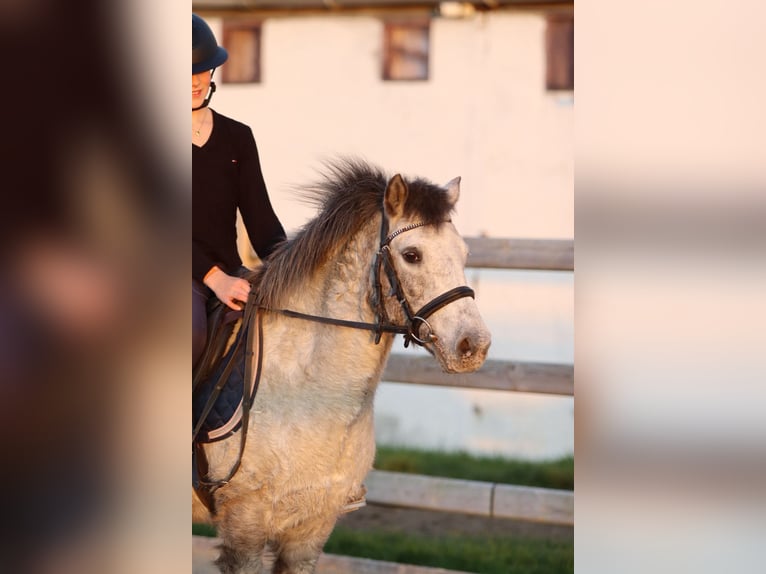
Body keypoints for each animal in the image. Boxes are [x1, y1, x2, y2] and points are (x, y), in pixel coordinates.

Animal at [194, 159, 491, 573]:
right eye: (412, 255)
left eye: (463, 254)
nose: (474, 346)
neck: (306, 396)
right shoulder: (244, 528)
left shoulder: (311, 531)